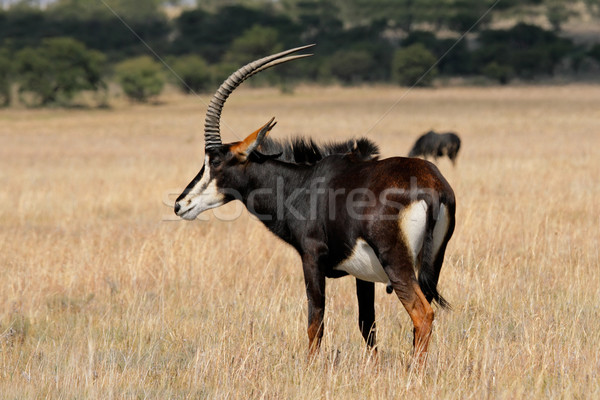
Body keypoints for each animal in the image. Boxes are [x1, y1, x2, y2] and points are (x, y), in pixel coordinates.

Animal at [176, 45, 458, 364]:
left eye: (214, 161)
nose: (181, 204)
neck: (303, 182)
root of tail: (432, 188)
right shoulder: (363, 276)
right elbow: (367, 325)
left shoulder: (311, 258)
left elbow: (315, 322)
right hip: (430, 264)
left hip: (397, 264)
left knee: (422, 314)